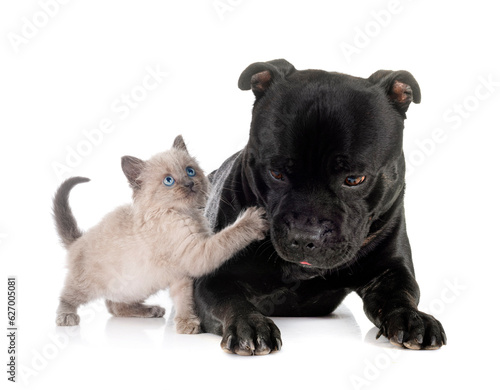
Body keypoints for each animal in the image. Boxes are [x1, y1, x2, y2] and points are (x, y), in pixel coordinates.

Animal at [52, 136, 268, 334]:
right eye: (168, 181)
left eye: (190, 171)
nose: (189, 184)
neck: (184, 213)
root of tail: (79, 239)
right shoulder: (197, 254)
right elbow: (228, 236)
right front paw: (254, 220)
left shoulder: (182, 275)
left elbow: (184, 300)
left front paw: (186, 323)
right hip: (87, 285)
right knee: (68, 296)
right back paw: (66, 316)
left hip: (136, 287)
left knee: (114, 306)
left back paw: (150, 310)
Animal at [194, 59, 446, 354]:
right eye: (276, 173)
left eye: (354, 179)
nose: (304, 237)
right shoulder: (213, 278)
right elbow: (230, 300)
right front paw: (249, 323)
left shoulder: (392, 269)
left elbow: (402, 294)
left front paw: (413, 318)